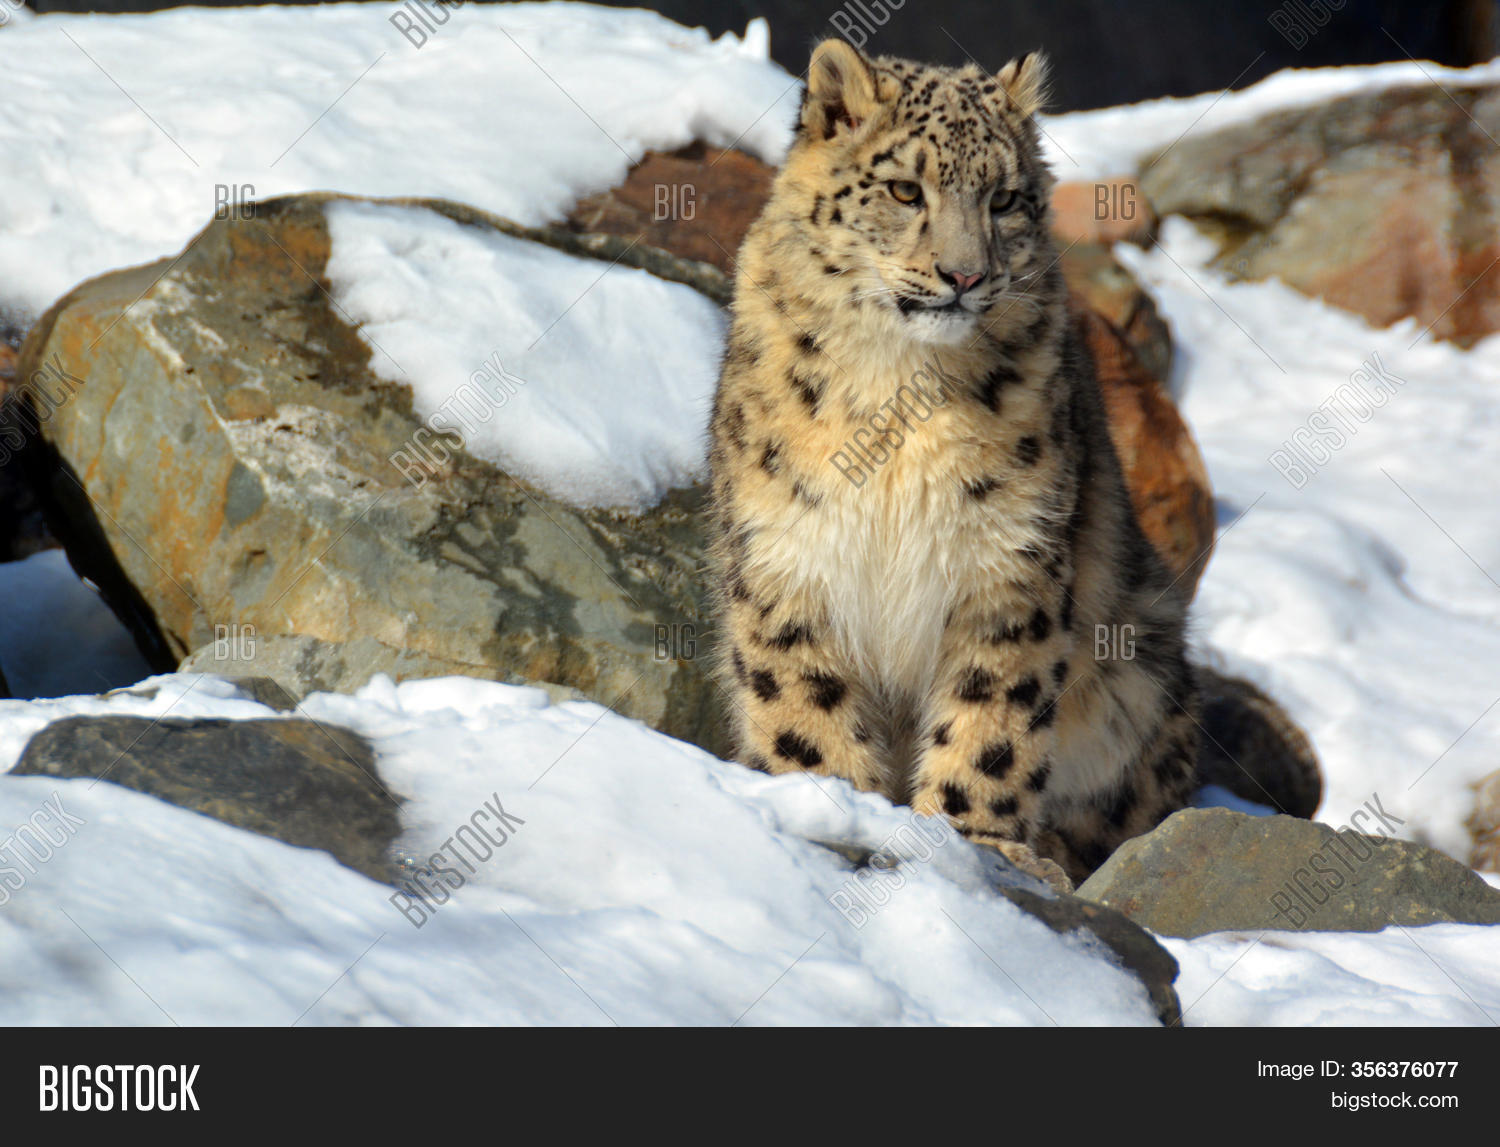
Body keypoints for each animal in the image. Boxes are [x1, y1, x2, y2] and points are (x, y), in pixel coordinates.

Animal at [704, 38, 1201, 889]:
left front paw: (976, 843)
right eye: (905, 189)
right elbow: (804, 706)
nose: (964, 274)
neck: (898, 388)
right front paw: (831, 803)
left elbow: (992, 718)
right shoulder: (789, 554)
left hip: (1144, 660)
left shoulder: (1008, 563)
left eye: (1004, 199)